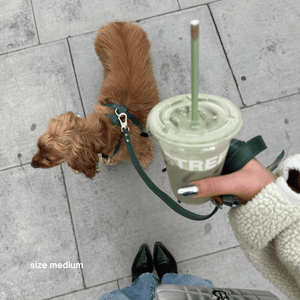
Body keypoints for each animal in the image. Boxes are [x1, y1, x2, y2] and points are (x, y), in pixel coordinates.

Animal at [31, 22, 159, 180]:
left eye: (49, 159)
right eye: (38, 146)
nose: (32, 164)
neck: (108, 127)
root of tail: (118, 23)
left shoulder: (139, 140)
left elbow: (144, 149)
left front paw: (145, 159)